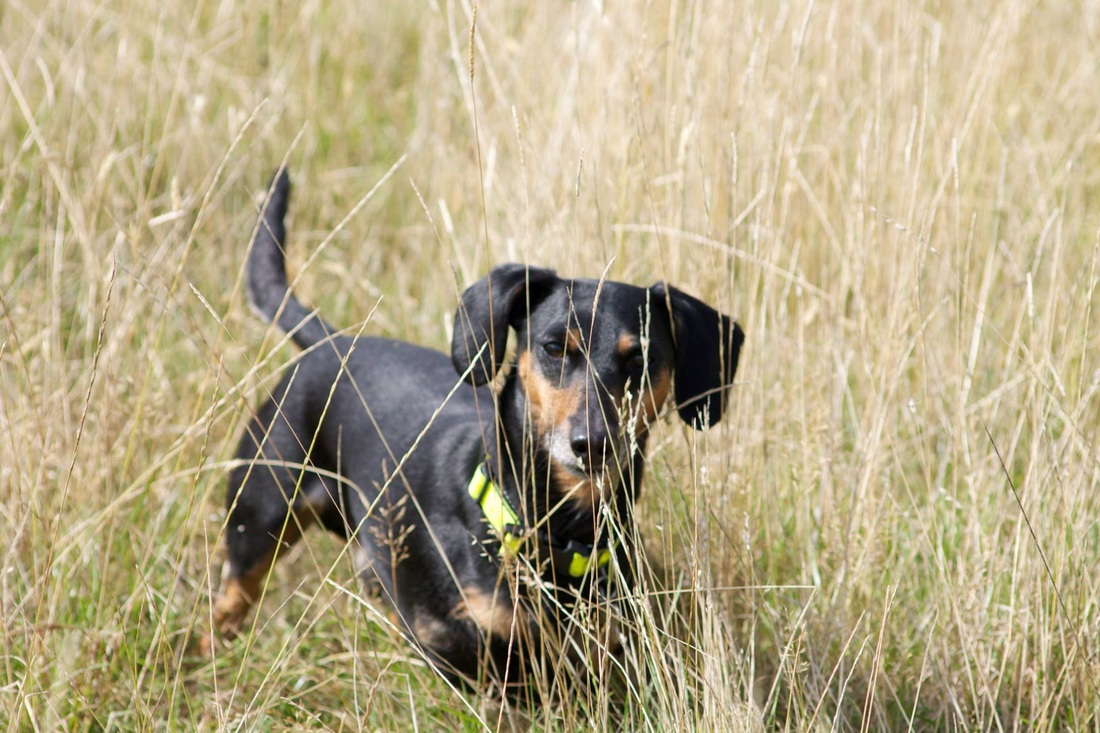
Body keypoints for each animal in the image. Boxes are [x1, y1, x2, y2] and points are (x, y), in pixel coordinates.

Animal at [207, 169, 739, 691]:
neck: (555, 531)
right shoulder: (451, 640)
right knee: (235, 590)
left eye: (642, 359)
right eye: (553, 347)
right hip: (259, 512)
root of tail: (334, 342)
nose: (592, 444)